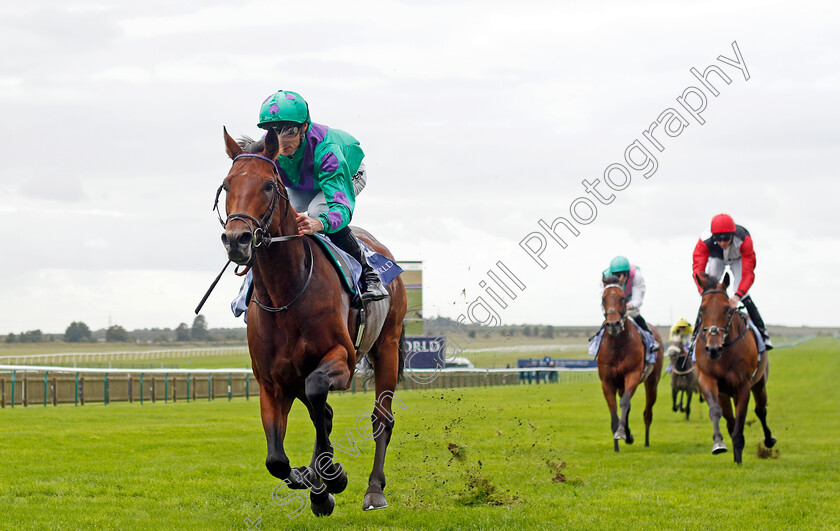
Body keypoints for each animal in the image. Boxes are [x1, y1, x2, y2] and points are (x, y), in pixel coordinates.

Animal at [218, 128, 408, 516]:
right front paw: (313, 480)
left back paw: (374, 490)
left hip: (387, 346)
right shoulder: (272, 380)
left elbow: (320, 392)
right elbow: (276, 459)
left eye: (268, 186)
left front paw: (330, 478)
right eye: (227, 185)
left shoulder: (343, 359)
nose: (236, 239)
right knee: (324, 413)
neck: (285, 293)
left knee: (381, 419)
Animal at [596, 278, 664, 454]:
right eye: (603, 299)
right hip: (621, 385)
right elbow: (614, 410)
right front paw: (617, 442)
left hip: (652, 382)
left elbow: (624, 403)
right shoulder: (607, 382)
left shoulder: (632, 375)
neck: (617, 346)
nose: (613, 324)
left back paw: (646, 441)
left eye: (623, 298)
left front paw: (621, 432)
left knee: (647, 412)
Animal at [696, 274, 776, 466]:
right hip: (725, 393)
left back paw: (769, 440)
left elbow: (741, 417)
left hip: (759, 384)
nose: (713, 349)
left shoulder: (743, 385)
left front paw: (738, 454)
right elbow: (716, 412)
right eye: (702, 309)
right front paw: (718, 444)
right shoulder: (708, 379)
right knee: (729, 420)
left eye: (727, 309)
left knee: (760, 410)